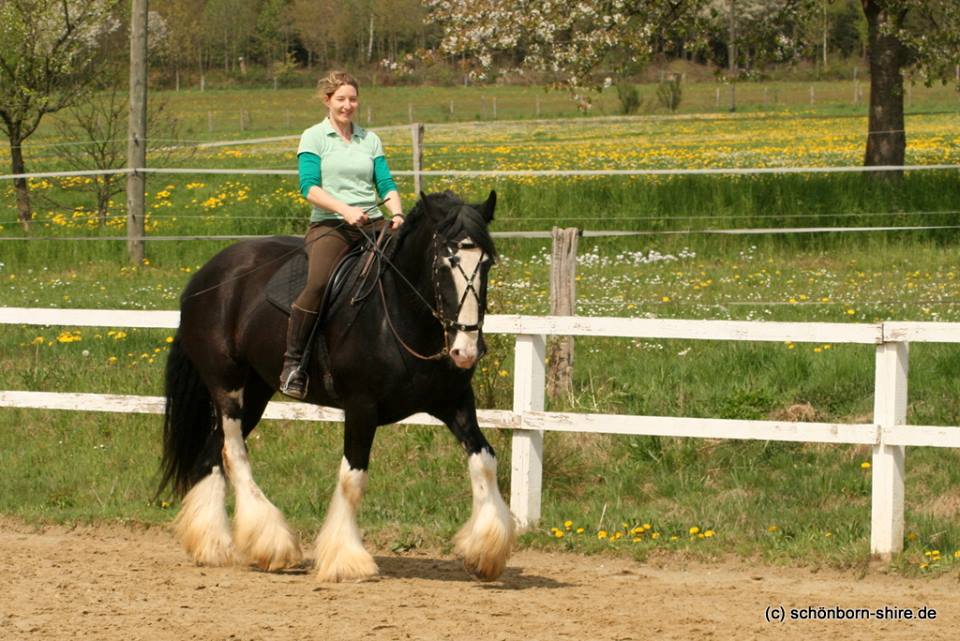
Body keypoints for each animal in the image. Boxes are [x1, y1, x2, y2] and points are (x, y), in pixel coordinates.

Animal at [161, 189, 512, 580]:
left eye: (486, 263)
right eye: (444, 263)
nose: (466, 350)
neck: (399, 317)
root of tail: (205, 276)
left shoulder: (454, 402)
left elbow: (484, 460)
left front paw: (486, 550)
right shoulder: (361, 406)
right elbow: (352, 479)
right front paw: (348, 559)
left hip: (256, 392)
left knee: (213, 453)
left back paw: (212, 544)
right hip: (227, 385)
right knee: (233, 453)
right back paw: (271, 544)